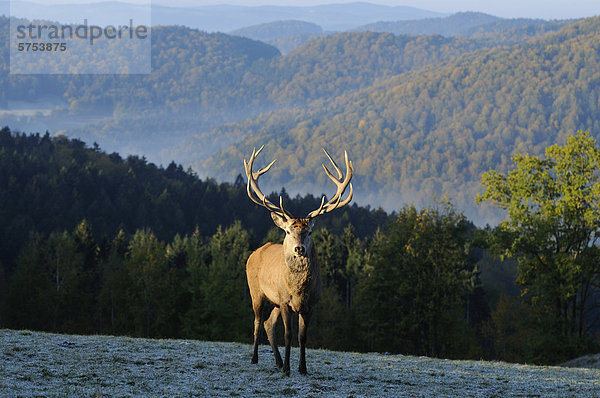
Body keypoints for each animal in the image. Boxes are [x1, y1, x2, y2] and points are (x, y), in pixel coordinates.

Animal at [245, 145, 354, 374]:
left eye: (309, 231)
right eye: (288, 231)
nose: (299, 248)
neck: (298, 292)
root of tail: (255, 252)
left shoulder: (311, 304)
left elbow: (303, 337)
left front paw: (302, 368)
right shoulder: (285, 301)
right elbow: (288, 335)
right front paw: (288, 369)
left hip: (274, 301)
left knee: (268, 323)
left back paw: (277, 361)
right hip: (256, 291)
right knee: (258, 321)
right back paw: (255, 358)